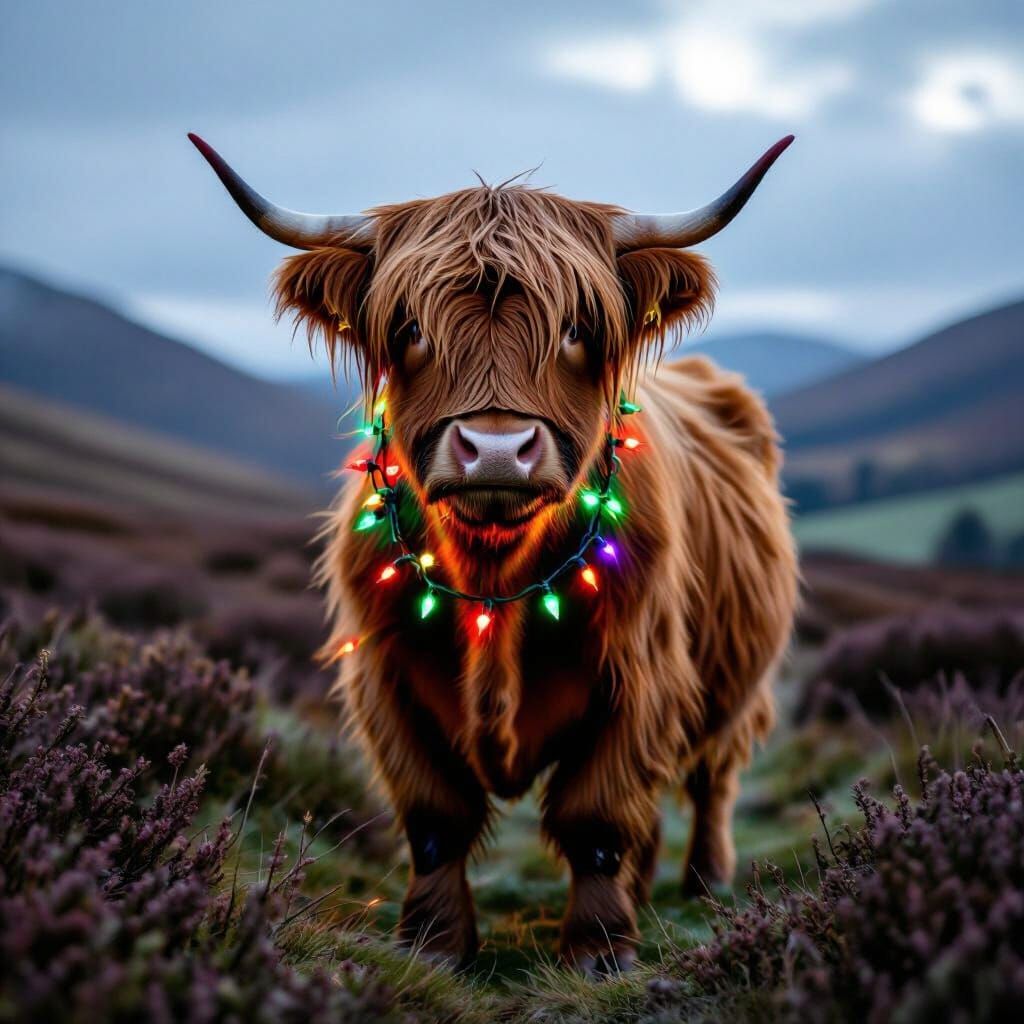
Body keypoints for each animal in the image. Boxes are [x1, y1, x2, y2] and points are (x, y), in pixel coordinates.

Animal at [190, 133, 799, 974]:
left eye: (577, 328)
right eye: (410, 328)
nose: (498, 450)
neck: (494, 574)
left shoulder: (640, 676)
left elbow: (596, 817)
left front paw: (598, 952)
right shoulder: (387, 677)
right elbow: (435, 817)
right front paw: (434, 944)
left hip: (737, 688)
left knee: (712, 778)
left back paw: (705, 885)